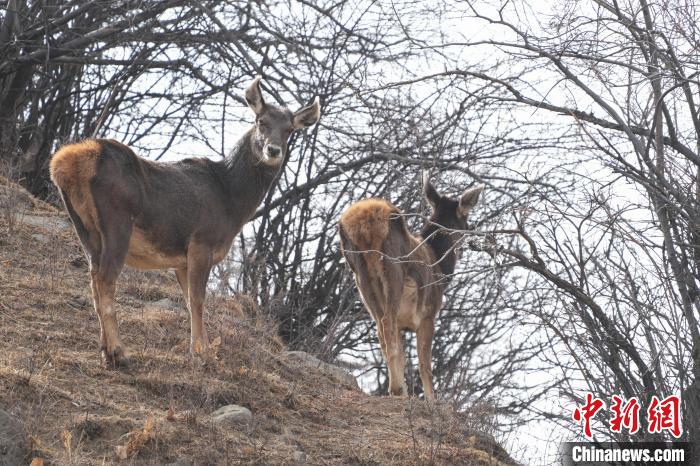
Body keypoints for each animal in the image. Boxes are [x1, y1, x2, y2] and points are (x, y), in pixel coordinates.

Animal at [49, 76, 320, 367]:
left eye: (290, 130)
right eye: (261, 121)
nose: (273, 150)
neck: (231, 202)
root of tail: (64, 164)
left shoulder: (181, 259)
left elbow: (189, 302)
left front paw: (202, 348)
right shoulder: (202, 241)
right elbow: (199, 299)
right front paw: (200, 354)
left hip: (85, 228)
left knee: (93, 279)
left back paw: (105, 350)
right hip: (116, 222)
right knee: (105, 279)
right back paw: (118, 352)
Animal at [338, 174, 484, 399]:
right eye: (465, 221)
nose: (472, 230)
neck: (440, 269)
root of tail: (362, 224)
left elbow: (403, 355)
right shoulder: (428, 314)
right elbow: (425, 365)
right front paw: (432, 400)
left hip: (360, 277)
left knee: (380, 329)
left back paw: (398, 389)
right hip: (393, 268)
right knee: (386, 322)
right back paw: (397, 388)